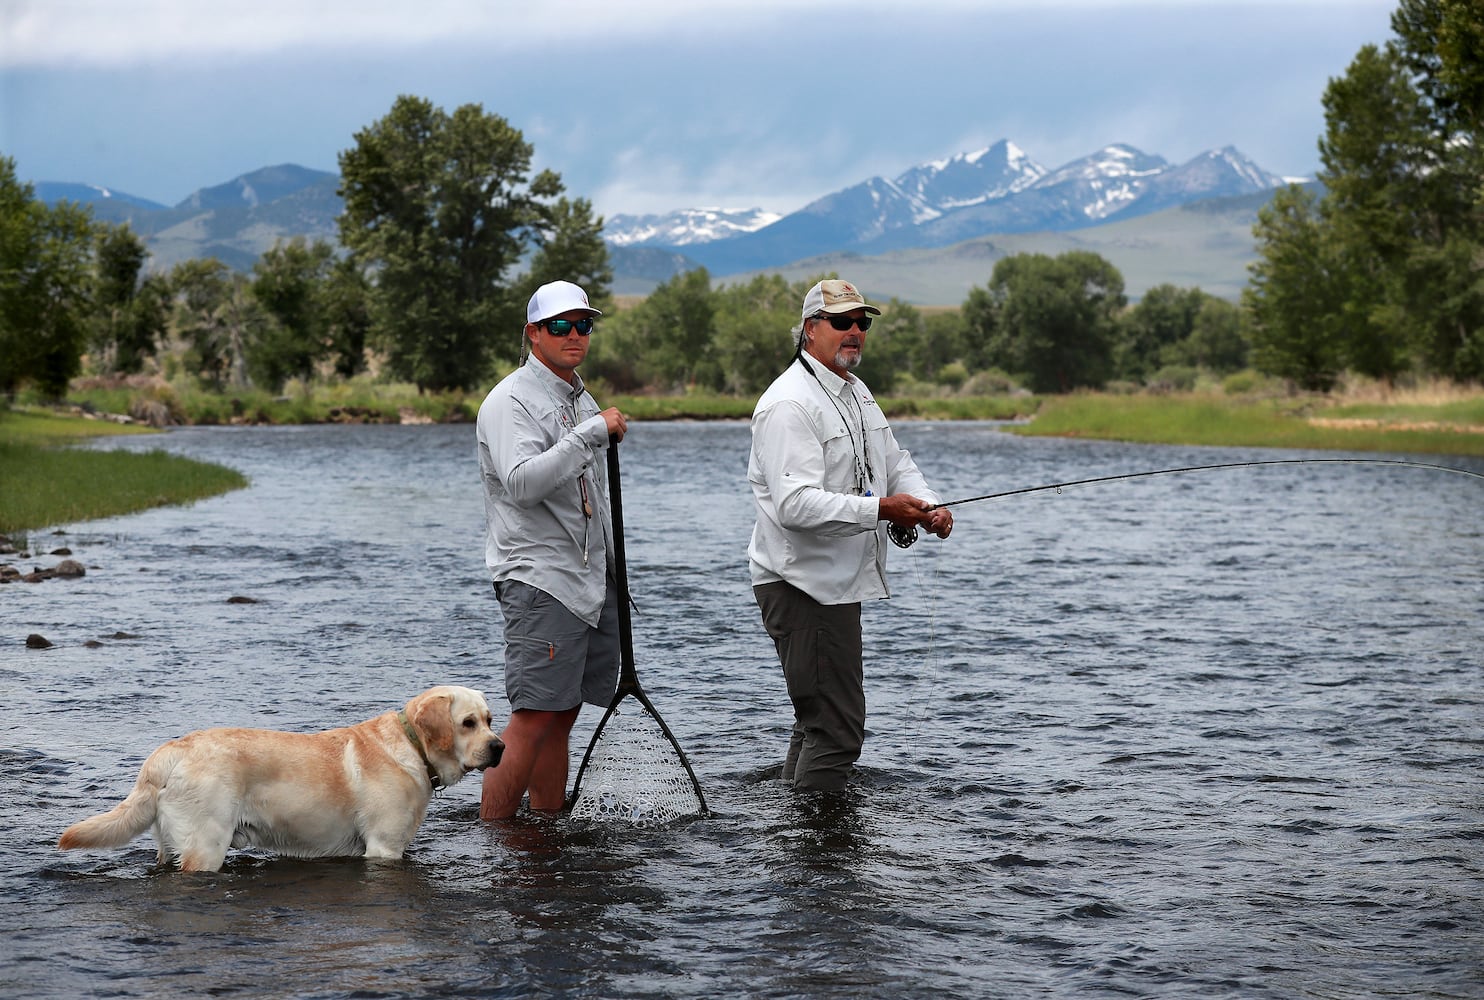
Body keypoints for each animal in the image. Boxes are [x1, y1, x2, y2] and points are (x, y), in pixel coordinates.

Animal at [57, 682, 501, 866]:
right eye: (467, 723)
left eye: (490, 720)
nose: (499, 747)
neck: (411, 746)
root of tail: (170, 751)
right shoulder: (383, 848)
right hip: (206, 846)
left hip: (168, 844)